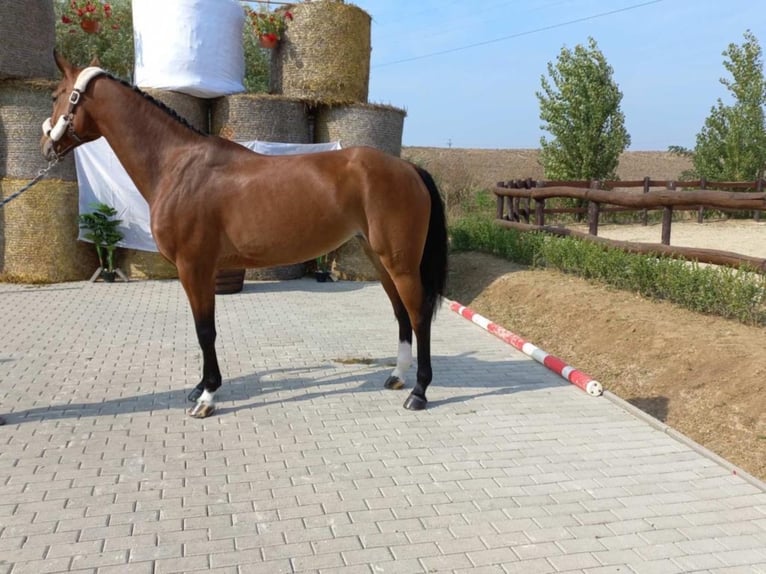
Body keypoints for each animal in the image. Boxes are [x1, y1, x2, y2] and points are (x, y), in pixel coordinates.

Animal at [41, 53, 448, 418]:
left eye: (57, 94)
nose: (46, 145)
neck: (178, 165)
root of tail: (408, 168)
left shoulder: (194, 267)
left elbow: (205, 330)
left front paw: (207, 397)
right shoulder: (202, 270)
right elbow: (203, 329)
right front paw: (199, 388)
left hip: (399, 262)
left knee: (418, 314)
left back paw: (418, 392)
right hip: (379, 259)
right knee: (401, 313)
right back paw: (397, 376)